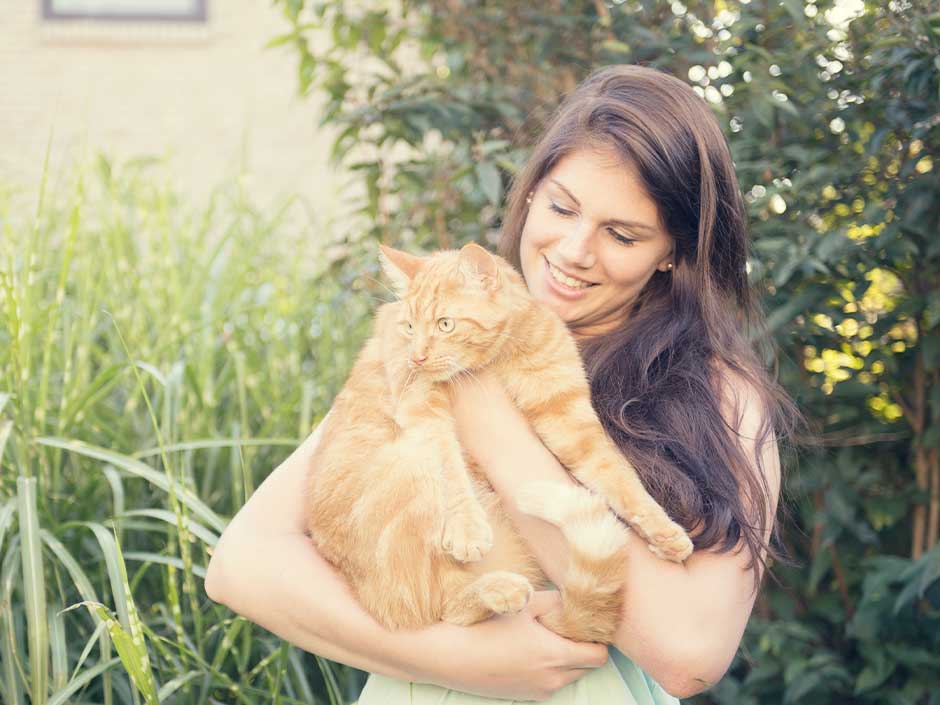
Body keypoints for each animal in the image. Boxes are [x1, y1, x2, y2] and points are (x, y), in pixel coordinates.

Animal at [304, 241, 692, 640]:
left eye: (445, 324)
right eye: (409, 327)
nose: (418, 357)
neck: (502, 355)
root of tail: (367, 595)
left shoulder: (568, 419)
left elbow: (619, 476)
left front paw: (665, 532)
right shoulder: (422, 409)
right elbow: (450, 470)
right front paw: (467, 529)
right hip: (409, 470)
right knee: (445, 607)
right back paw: (498, 590)